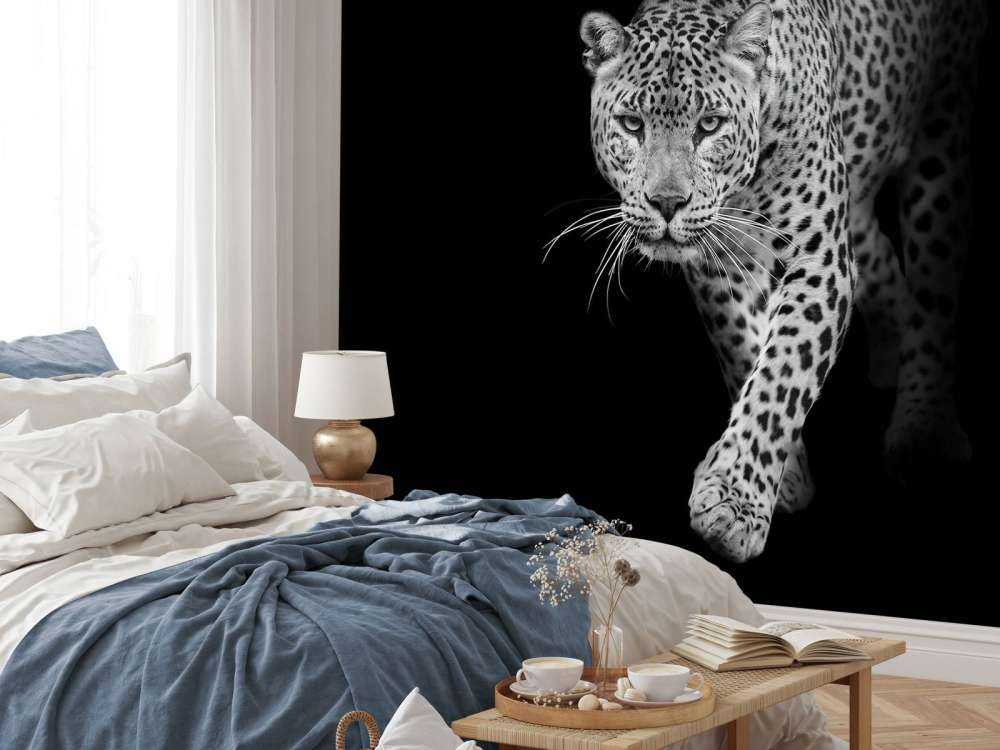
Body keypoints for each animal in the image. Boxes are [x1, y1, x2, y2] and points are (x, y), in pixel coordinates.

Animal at [574, 0, 983, 561]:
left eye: (710, 125)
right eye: (632, 124)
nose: (667, 203)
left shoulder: (819, 259)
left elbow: (784, 370)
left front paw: (734, 503)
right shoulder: (719, 263)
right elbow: (745, 352)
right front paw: (782, 478)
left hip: (941, 134)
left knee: (934, 282)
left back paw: (922, 432)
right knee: (879, 260)